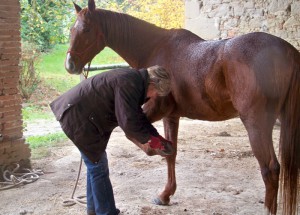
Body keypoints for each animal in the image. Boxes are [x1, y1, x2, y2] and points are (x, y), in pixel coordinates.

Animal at [64, 0, 298, 214]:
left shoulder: (152, 110)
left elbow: (131, 132)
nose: (70, 65)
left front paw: (153, 149)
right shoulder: (170, 116)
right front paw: (165, 195)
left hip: (256, 124)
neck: (154, 47)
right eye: (71, 30)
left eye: (86, 29)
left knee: (270, 169)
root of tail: (286, 50)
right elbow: (172, 154)